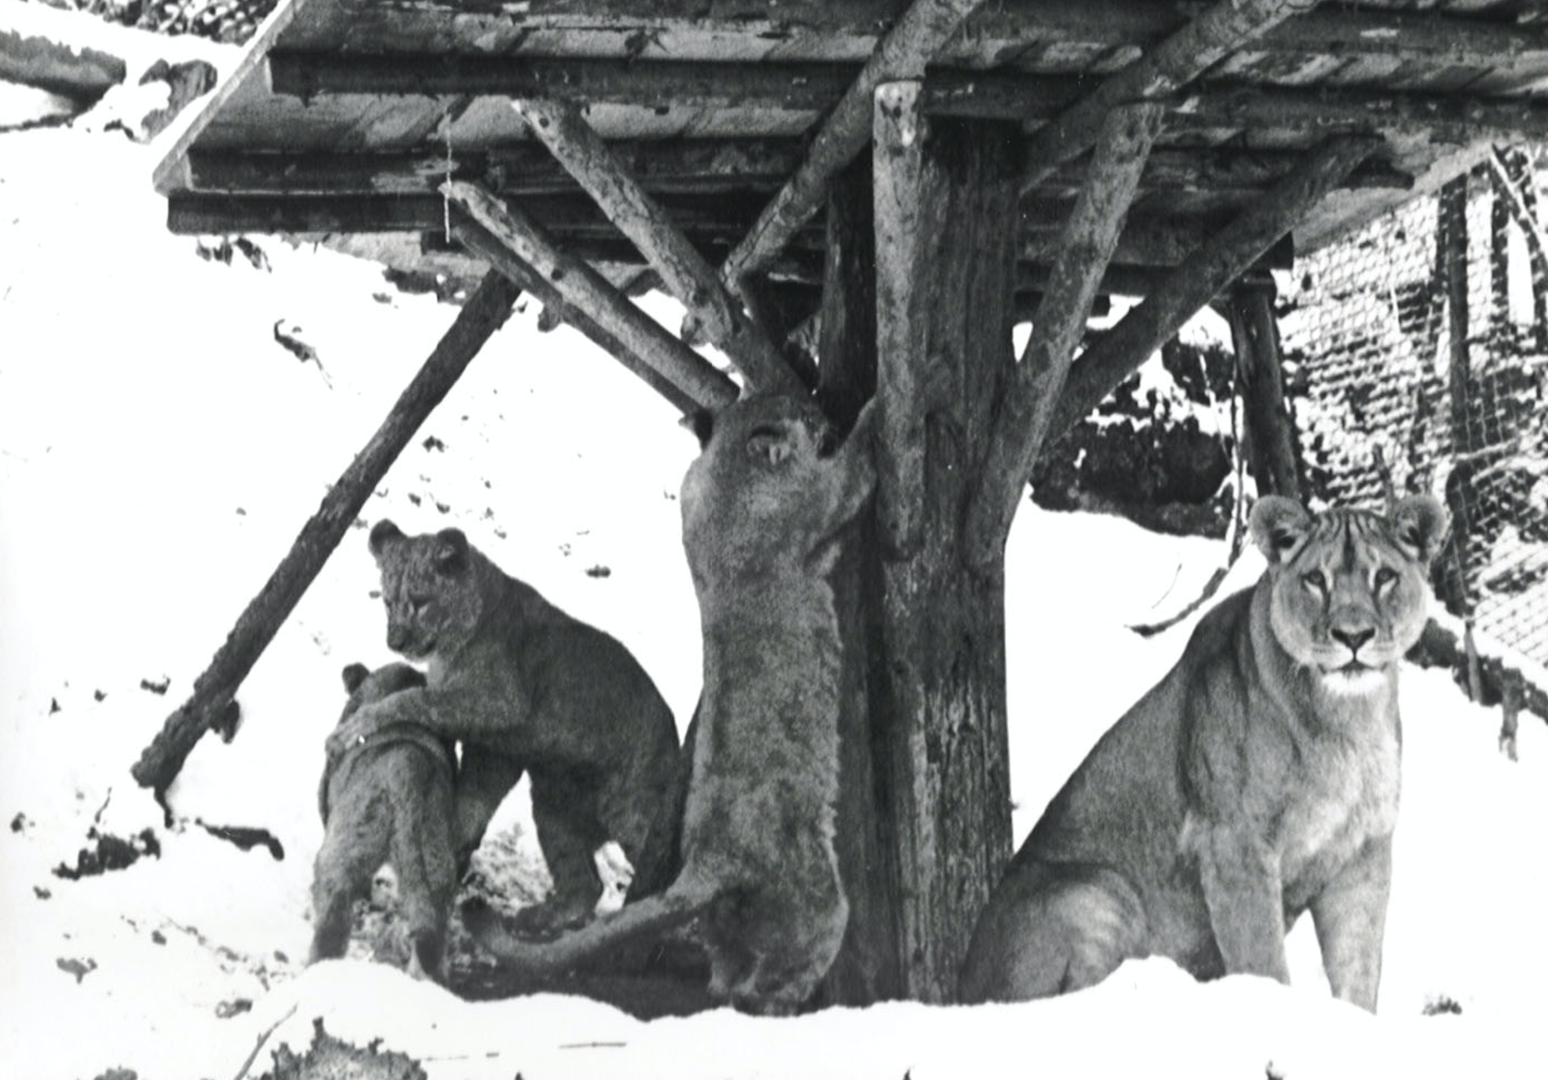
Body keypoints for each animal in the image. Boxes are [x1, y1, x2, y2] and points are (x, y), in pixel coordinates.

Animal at [326, 521, 681, 937]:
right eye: (387, 601)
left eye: (421, 600)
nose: (394, 641)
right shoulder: (498, 747)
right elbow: (473, 795)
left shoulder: (501, 702)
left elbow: (412, 699)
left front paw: (349, 731)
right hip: (553, 805)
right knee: (585, 887)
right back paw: (533, 919)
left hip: (635, 813)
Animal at [461, 393, 879, 1014]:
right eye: (806, 412)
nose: (827, 409)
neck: (724, 474)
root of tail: (709, 862)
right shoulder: (820, 500)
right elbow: (852, 472)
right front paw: (878, 413)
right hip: (822, 902)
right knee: (778, 974)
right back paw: (792, 1002)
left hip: (726, 925)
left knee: (726, 977)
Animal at [959, 494, 1450, 1012]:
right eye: (1316, 579)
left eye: (1385, 577)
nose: (1353, 637)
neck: (1346, 718)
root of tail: (962, 984)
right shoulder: (1234, 844)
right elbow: (1264, 963)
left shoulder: (1363, 852)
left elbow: (1358, 974)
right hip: (1101, 891)